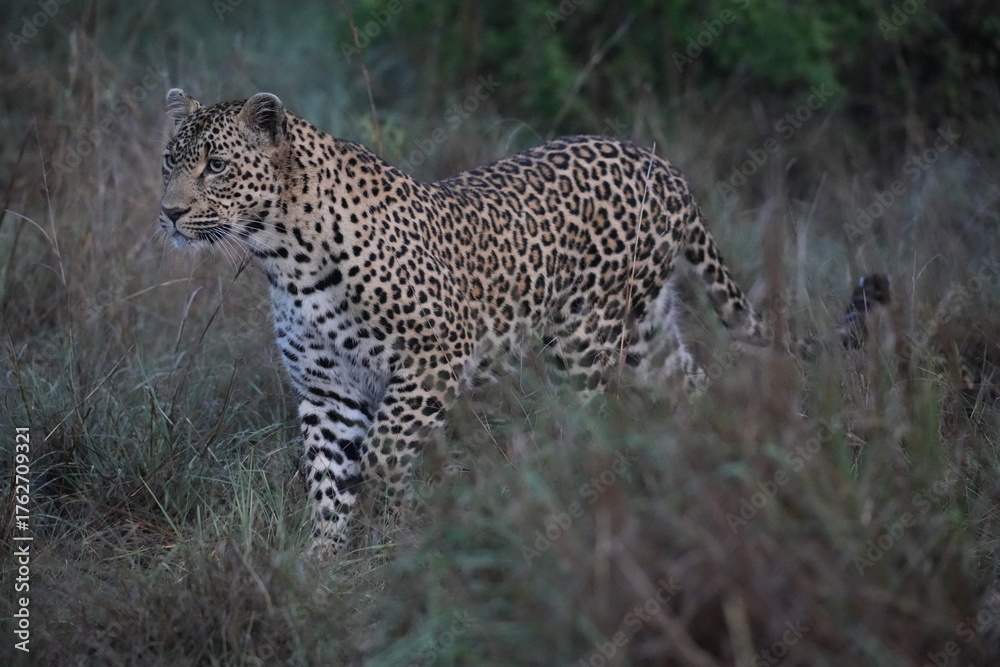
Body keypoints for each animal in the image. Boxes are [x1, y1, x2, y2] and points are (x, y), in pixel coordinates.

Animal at [158, 89, 769, 549]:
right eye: (170, 161)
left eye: (216, 166)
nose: (169, 213)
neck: (284, 255)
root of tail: (662, 164)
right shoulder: (327, 389)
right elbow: (329, 484)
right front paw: (323, 569)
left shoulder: (435, 356)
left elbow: (381, 454)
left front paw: (392, 528)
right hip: (645, 332)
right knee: (688, 383)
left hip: (585, 340)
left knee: (595, 423)